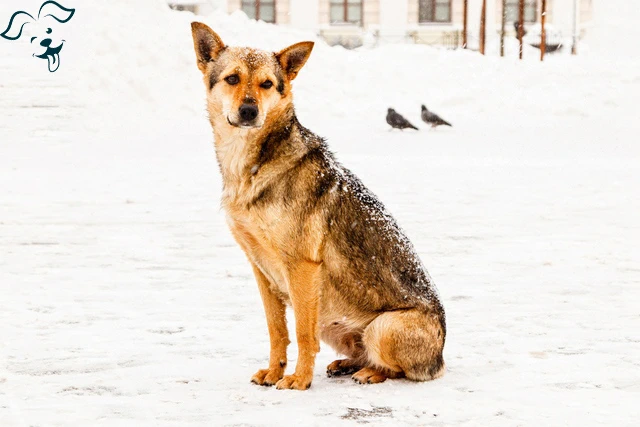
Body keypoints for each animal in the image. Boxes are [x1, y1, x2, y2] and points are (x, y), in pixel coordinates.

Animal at [191, 22, 444, 392]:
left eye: (267, 84)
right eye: (232, 79)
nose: (250, 111)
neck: (252, 164)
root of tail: (440, 359)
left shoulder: (302, 267)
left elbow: (301, 332)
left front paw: (299, 379)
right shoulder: (260, 269)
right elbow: (277, 330)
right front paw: (274, 371)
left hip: (382, 328)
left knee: (396, 369)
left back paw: (370, 372)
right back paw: (346, 364)